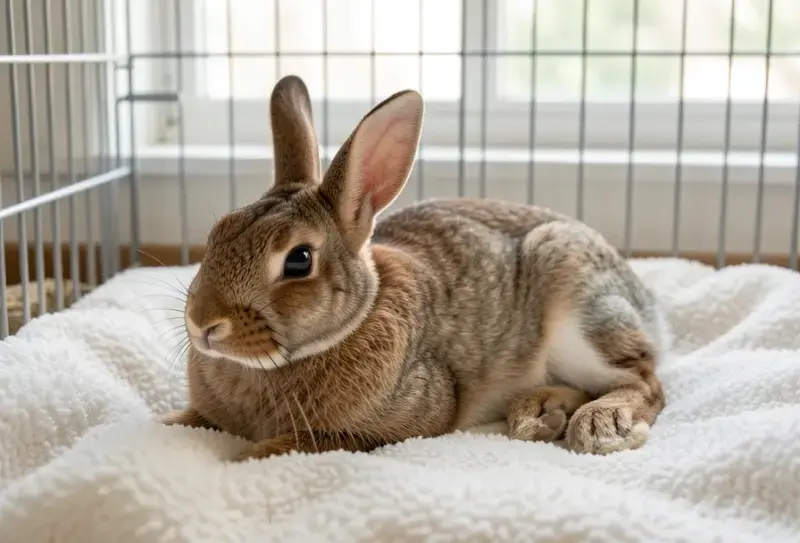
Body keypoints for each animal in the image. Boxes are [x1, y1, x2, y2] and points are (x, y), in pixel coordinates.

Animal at [159, 74, 669, 461]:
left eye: (299, 260)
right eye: (217, 233)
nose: (202, 323)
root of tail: (647, 304)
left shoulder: (373, 432)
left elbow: (289, 446)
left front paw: (242, 458)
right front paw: (169, 422)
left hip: (576, 307)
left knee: (646, 382)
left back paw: (600, 424)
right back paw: (539, 414)